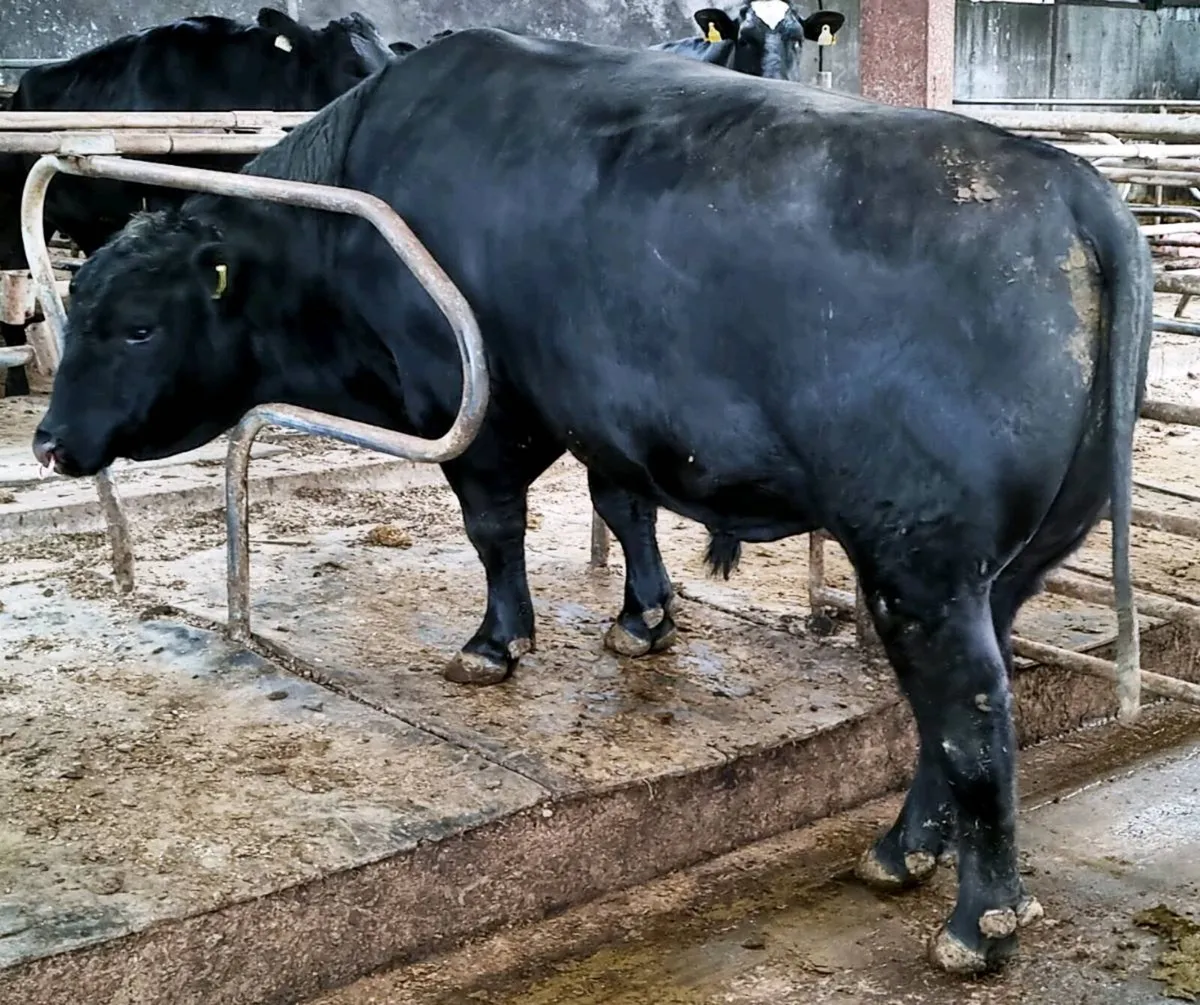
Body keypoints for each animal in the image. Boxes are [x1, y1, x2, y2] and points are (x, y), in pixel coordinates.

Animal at [31, 28, 1151, 976]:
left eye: (137, 325)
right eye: (81, 304)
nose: (46, 441)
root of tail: (1070, 188)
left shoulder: (480, 412)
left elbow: (495, 529)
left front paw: (496, 642)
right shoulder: (610, 415)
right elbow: (624, 509)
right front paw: (643, 618)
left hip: (919, 562)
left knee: (972, 716)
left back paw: (977, 922)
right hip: (996, 567)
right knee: (951, 712)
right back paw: (898, 851)